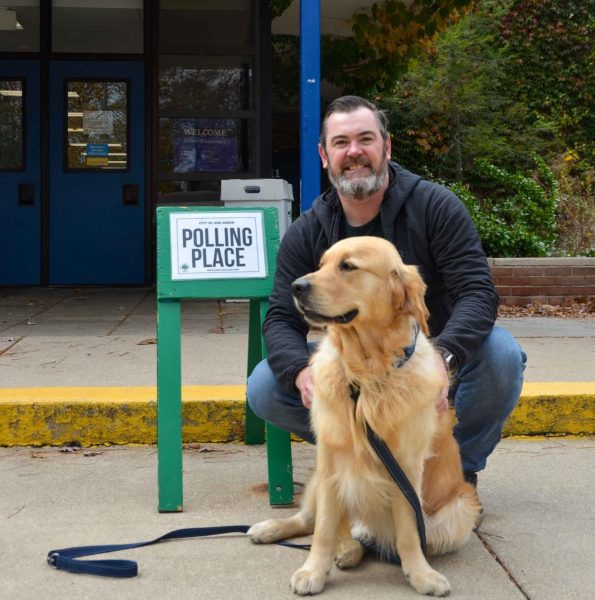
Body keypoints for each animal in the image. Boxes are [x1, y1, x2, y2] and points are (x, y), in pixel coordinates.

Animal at [247, 238, 484, 596]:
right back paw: (271, 529)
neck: (365, 374)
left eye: (348, 266)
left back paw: (352, 549)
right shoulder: (331, 460)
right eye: (321, 264)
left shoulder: (406, 466)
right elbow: (323, 529)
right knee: (309, 520)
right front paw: (313, 571)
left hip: (458, 512)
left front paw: (421, 575)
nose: (296, 286)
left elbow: (409, 534)